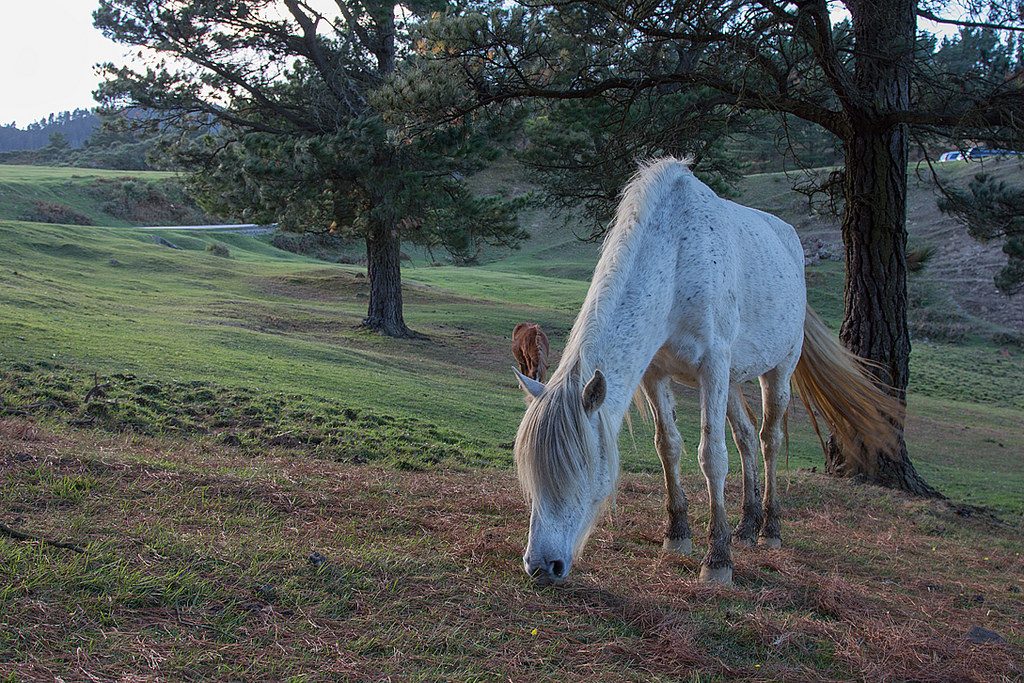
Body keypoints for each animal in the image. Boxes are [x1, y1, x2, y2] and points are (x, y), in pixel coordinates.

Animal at [512, 157, 897, 585]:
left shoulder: (712, 366)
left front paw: (717, 560)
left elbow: (712, 456)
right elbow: (668, 446)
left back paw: (769, 528)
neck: (677, 256)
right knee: (746, 438)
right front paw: (677, 535)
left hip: (776, 371)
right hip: (731, 382)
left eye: (582, 468)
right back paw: (746, 525)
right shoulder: (656, 374)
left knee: (769, 439)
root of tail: (789, 241)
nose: (541, 566)